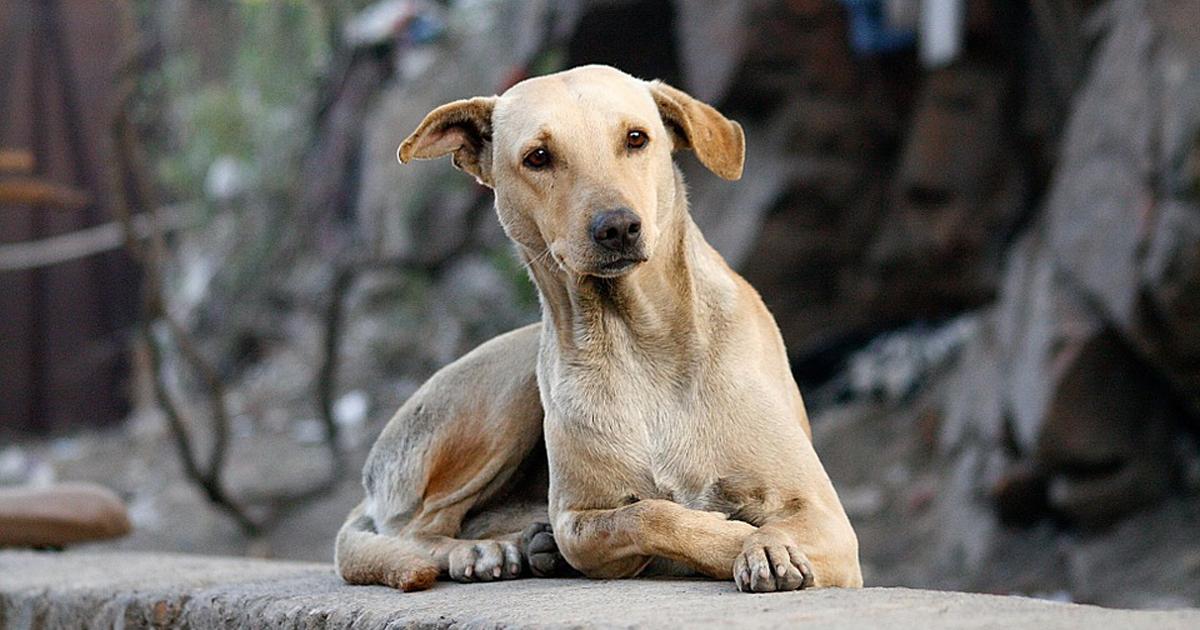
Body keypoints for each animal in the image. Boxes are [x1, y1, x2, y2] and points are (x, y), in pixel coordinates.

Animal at [338, 66, 864, 592]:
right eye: (538, 157)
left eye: (636, 138)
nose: (617, 227)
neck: (639, 341)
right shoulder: (579, 520)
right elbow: (646, 515)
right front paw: (735, 539)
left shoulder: (826, 517)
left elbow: (772, 524)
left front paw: (766, 546)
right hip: (503, 396)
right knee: (417, 527)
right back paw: (484, 550)